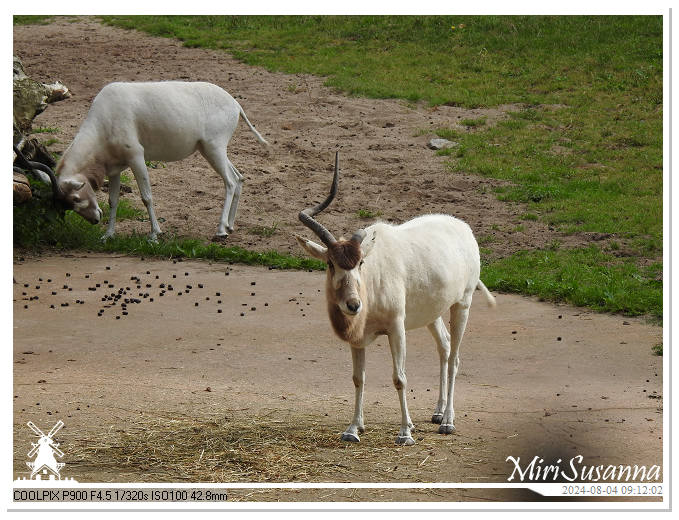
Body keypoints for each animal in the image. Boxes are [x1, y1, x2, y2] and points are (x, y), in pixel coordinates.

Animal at [43, 80, 268, 242]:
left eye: (75, 198)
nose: (95, 220)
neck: (106, 116)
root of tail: (235, 104)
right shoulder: (115, 168)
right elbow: (113, 200)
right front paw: (108, 235)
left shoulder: (136, 157)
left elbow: (147, 197)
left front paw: (154, 234)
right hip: (210, 150)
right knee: (238, 177)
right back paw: (230, 226)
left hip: (214, 148)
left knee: (230, 181)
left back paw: (221, 230)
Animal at [294, 152, 496, 444]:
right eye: (331, 264)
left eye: (361, 262)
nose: (353, 305)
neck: (371, 281)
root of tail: (463, 228)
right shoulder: (358, 337)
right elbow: (358, 378)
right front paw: (353, 428)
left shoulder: (396, 328)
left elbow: (400, 378)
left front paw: (405, 433)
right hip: (432, 312)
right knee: (445, 346)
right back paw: (438, 411)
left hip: (462, 304)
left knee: (455, 358)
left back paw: (447, 421)